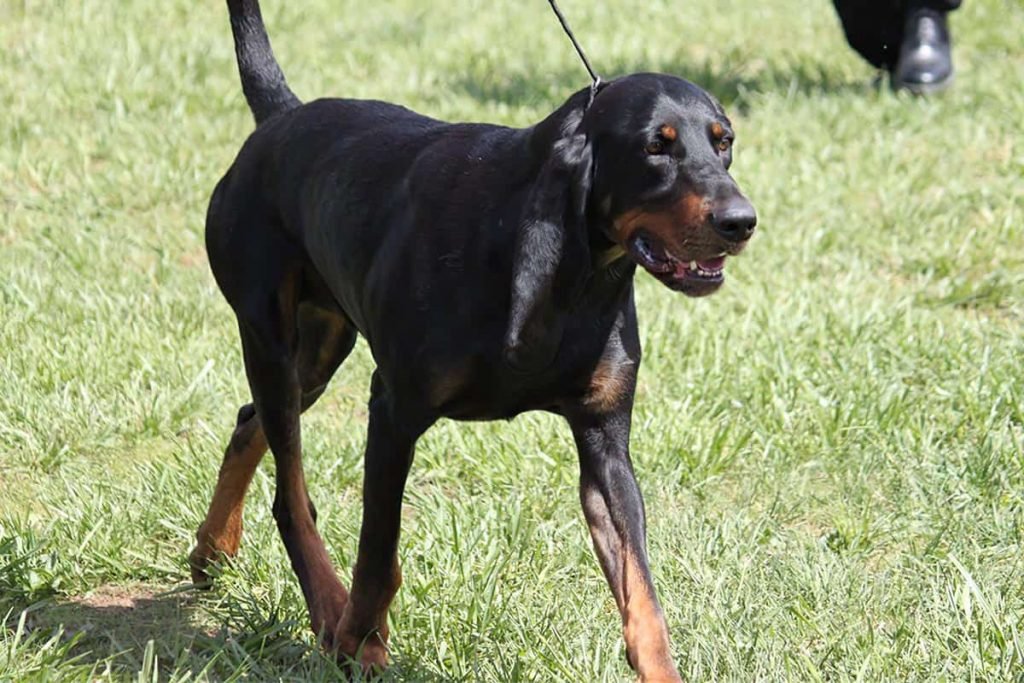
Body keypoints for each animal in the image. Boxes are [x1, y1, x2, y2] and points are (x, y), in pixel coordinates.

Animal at [190, 2, 753, 679]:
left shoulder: (604, 439)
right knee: (289, 491)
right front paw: (360, 642)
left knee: (252, 422)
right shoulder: (394, 410)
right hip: (267, 333)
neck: (567, 272)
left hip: (320, 347)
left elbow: (642, 597)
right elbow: (378, 558)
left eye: (724, 140)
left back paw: (212, 550)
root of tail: (281, 117)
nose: (741, 221)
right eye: (654, 147)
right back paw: (327, 609)